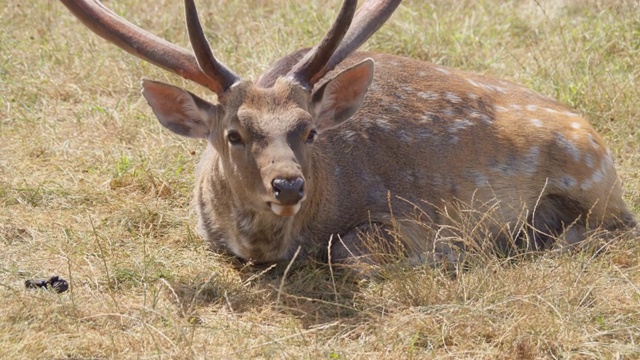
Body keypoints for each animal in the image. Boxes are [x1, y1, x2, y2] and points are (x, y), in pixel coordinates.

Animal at [58, 0, 636, 268]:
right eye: (234, 134)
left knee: (611, 229)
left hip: (592, 178)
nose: (289, 184)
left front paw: (449, 255)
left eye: (311, 131)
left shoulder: (406, 217)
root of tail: (593, 132)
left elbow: (348, 250)